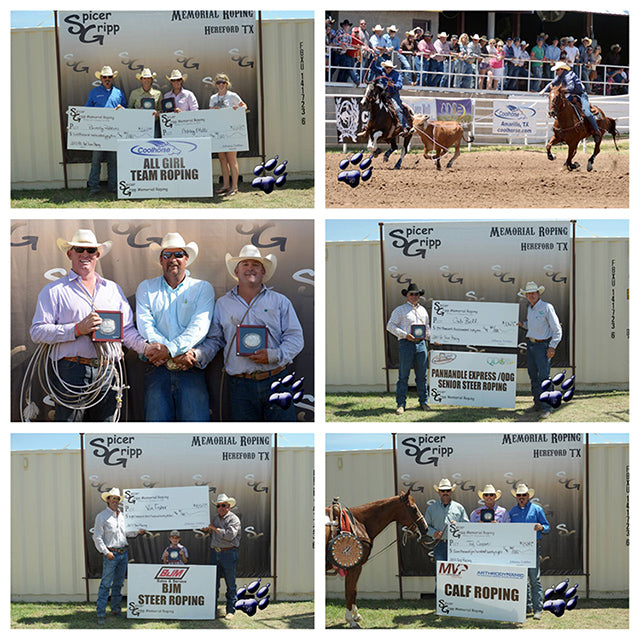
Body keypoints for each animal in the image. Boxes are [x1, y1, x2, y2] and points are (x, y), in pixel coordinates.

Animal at [324, 492, 430, 628]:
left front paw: (356, 616)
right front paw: (351, 620)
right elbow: (349, 591)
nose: (426, 528)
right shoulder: (355, 567)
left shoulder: (356, 568)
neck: (359, 524)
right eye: (413, 508)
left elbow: (354, 591)